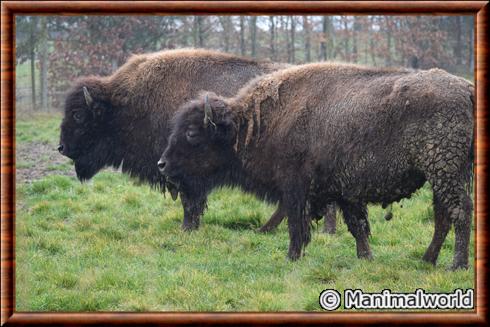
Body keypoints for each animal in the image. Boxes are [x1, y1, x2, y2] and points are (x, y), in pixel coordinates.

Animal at [161, 62, 474, 270]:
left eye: (192, 133)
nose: (162, 164)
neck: (252, 124)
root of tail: (467, 89)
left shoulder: (295, 187)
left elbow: (296, 225)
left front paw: (292, 257)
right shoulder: (348, 191)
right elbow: (358, 226)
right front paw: (365, 258)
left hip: (444, 170)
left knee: (460, 211)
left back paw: (456, 265)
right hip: (439, 174)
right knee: (443, 215)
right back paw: (427, 259)